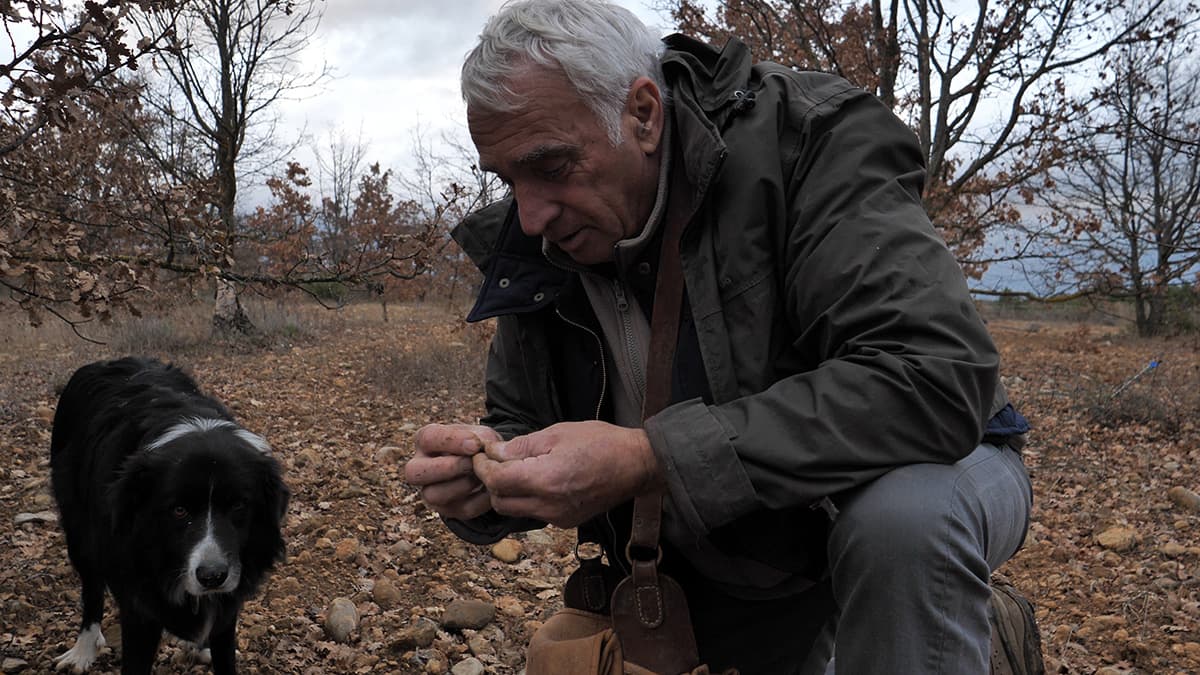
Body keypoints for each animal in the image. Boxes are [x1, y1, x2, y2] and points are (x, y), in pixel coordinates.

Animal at [50, 355, 289, 667]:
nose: (212, 577)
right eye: (179, 510)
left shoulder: (228, 601)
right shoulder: (138, 603)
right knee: (91, 589)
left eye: (238, 505)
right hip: (79, 534)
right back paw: (83, 651)